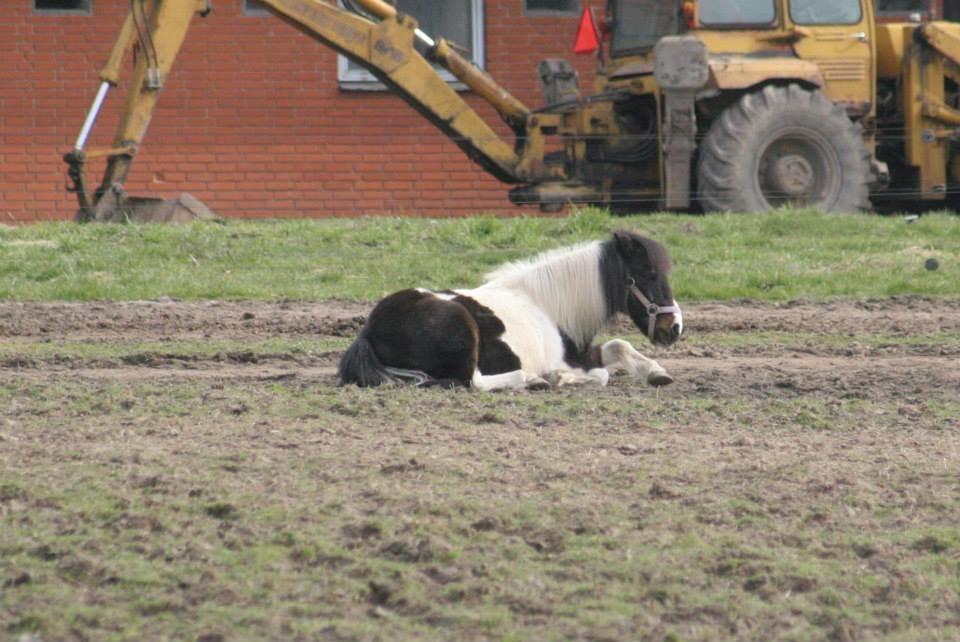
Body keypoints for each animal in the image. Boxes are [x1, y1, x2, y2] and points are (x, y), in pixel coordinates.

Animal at [338, 230, 684, 390]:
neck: (549, 307)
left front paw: (656, 372)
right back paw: (532, 379)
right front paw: (559, 377)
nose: (675, 328)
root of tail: (370, 329)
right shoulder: (569, 359)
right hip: (465, 332)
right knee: (474, 382)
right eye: (650, 275)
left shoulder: (579, 353)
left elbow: (617, 345)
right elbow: (601, 374)